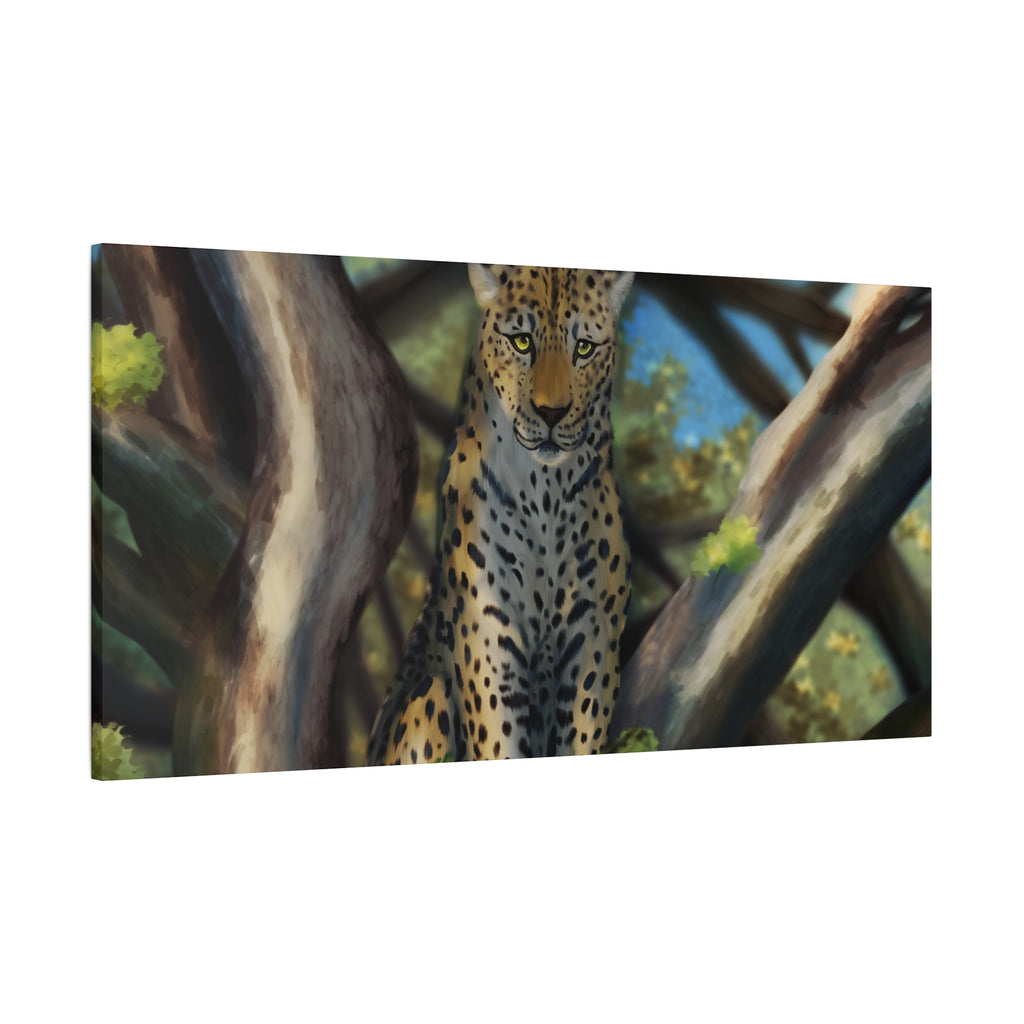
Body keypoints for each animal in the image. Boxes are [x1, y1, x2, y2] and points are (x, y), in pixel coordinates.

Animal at [366, 264, 634, 765]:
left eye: (584, 348)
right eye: (522, 342)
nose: (552, 413)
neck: (546, 492)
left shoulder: (592, 639)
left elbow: (581, 735)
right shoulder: (489, 638)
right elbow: (498, 740)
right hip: (426, 697)